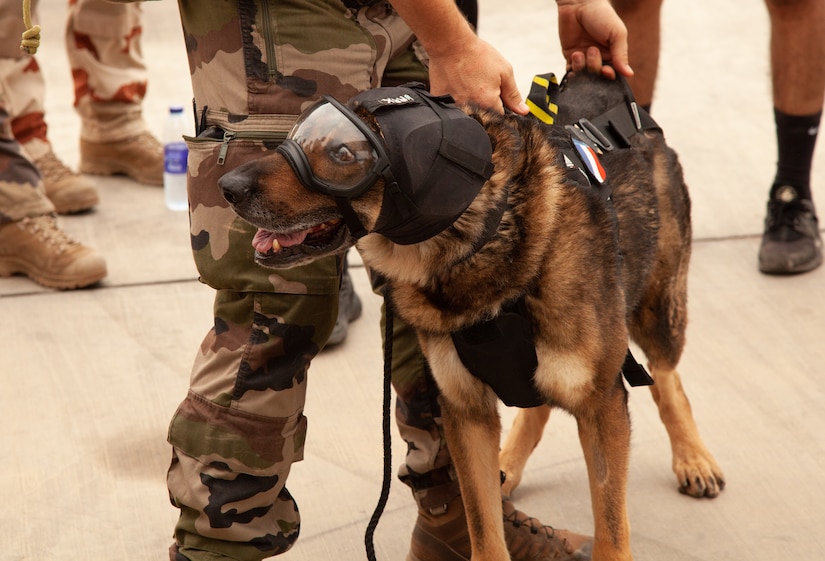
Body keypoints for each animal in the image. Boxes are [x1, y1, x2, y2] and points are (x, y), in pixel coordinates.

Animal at [217, 71, 720, 560]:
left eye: (343, 153)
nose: (228, 187)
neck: (484, 242)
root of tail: (608, 81)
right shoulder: (466, 413)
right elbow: (484, 528)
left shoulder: (602, 408)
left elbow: (612, 535)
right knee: (541, 407)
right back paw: (509, 465)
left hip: (657, 311)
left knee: (668, 379)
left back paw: (692, 457)